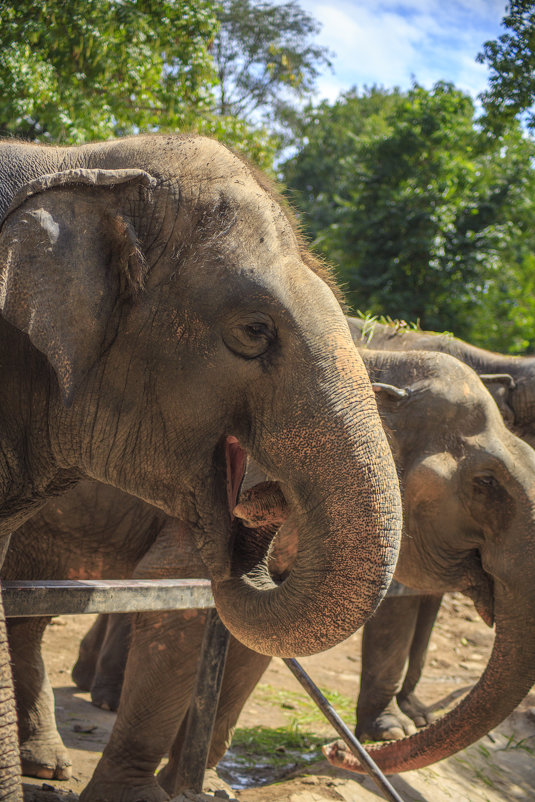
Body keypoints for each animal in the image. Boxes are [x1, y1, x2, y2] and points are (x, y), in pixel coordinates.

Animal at [4, 344, 535, 792]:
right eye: (486, 483)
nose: (335, 750)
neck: (374, 362)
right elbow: (179, 597)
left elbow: (259, 638)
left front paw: (207, 788)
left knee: (31, 614)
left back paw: (45, 762)